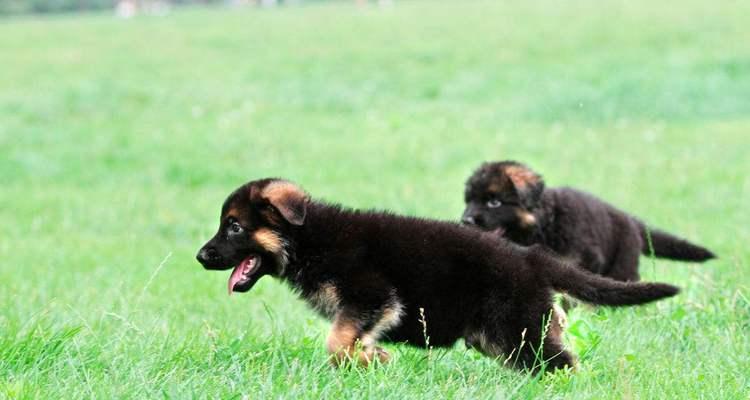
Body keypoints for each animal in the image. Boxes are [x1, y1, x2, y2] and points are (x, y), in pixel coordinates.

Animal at [195, 178, 680, 372]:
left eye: (233, 226)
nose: (201, 256)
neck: (309, 238)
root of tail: (530, 257)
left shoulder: (372, 296)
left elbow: (336, 342)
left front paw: (374, 359)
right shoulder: (366, 307)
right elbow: (342, 342)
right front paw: (371, 358)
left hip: (515, 328)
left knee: (561, 364)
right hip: (504, 336)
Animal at [464, 160, 716, 282]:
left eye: (494, 202)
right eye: (468, 200)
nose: (466, 220)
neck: (545, 223)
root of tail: (630, 219)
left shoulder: (586, 259)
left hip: (623, 263)